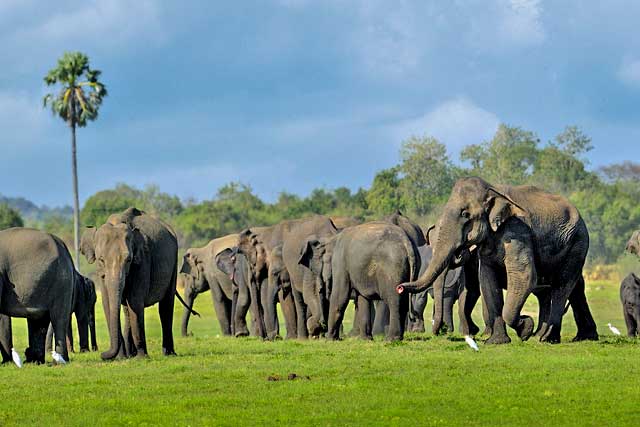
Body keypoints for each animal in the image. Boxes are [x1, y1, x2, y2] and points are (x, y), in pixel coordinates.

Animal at [0, 227, 75, 364]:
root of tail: (63, 246)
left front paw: (6, 363)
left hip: (62, 281)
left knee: (58, 318)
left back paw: (59, 361)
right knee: (39, 321)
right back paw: (35, 361)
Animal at [81, 209, 184, 360]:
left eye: (128, 260)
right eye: (101, 260)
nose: (102, 354)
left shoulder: (142, 262)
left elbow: (135, 302)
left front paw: (142, 358)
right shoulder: (101, 274)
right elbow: (108, 303)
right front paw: (121, 358)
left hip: (174, 264)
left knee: (165, 306)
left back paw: (169, 353)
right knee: (127, 311)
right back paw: (130, 354)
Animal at [398, 177, 596, 344]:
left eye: (465, 214)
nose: (399, 287)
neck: (493, 189)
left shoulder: (517, 231)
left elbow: (524, 277)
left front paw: (526, 328)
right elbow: (486, 281)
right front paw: (496, 341)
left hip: (577, 243)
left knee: (562, 286)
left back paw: (546, 338)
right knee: (571, 287)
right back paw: (576, 337)